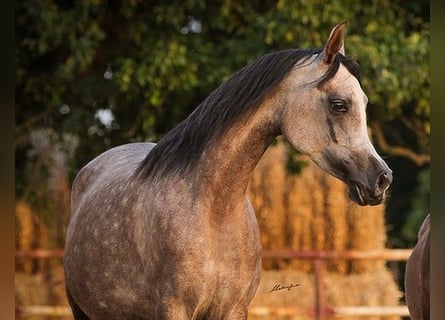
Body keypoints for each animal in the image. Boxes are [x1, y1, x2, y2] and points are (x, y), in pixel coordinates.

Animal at [63, 21, 392, 318]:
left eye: (363, 102)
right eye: (339, 104)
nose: (382, 179)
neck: (214, 212)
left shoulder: (234, 309)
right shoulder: (173, 308)